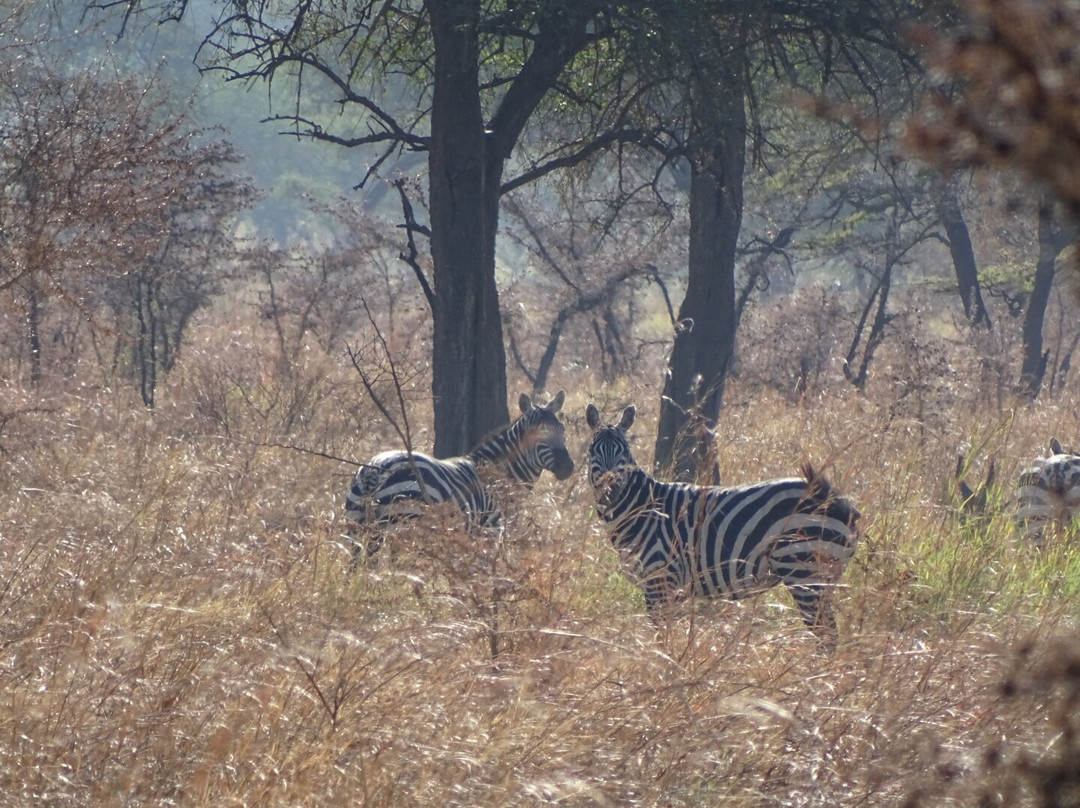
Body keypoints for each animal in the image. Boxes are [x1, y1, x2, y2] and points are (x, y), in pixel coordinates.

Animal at [344, 391, 574, 561]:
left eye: (562, 429)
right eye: (534, 434)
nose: (567, 468)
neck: (500, 476)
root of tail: (378, 467)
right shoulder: (490, 529)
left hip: (358, 527)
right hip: (402, 524)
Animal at [585, 402, 860, 646]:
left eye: (624, 452)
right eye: (592, 452)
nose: (610, 490)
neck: (641, 507)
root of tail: (830, 497)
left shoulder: (659, 578)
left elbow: (661, 637)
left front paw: (664, 665)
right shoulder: (671, 587)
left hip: (804, 570)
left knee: (827, 636)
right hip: (820, 577)